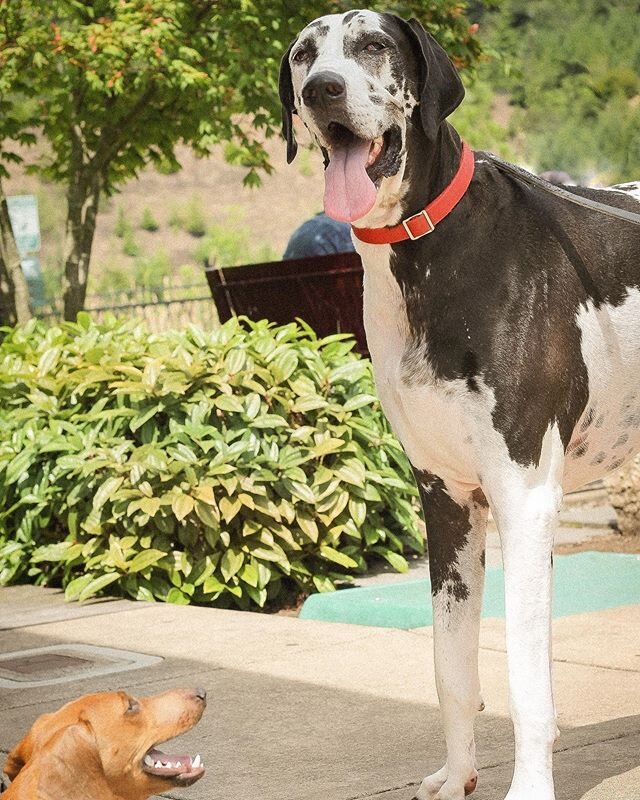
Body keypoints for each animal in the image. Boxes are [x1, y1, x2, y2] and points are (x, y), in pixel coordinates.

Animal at [282, 9, 640, 800]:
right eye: (302, 54)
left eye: (373, 45)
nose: (323, 90)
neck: (429, 250)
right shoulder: (445, 497)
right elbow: (450, 667)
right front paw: (457, 775)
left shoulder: (525, 495)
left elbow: (527, 680)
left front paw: (530, 787)